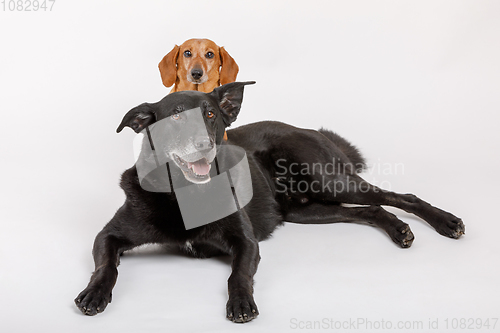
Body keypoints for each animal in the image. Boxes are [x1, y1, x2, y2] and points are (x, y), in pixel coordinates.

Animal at [74, 81, 464, 322]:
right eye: (177, 115)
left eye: (211, 114)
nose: (204, 144)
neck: (186, 194)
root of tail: (308, 129)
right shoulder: (108, 235)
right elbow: (105, 266)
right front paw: (94, 294)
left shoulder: (245, 242)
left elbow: (238, 274)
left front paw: (241, 302)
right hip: (307, 211)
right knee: (371, 210)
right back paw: (398, 230)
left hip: (331, 181)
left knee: (397, 196)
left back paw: (445, 222)